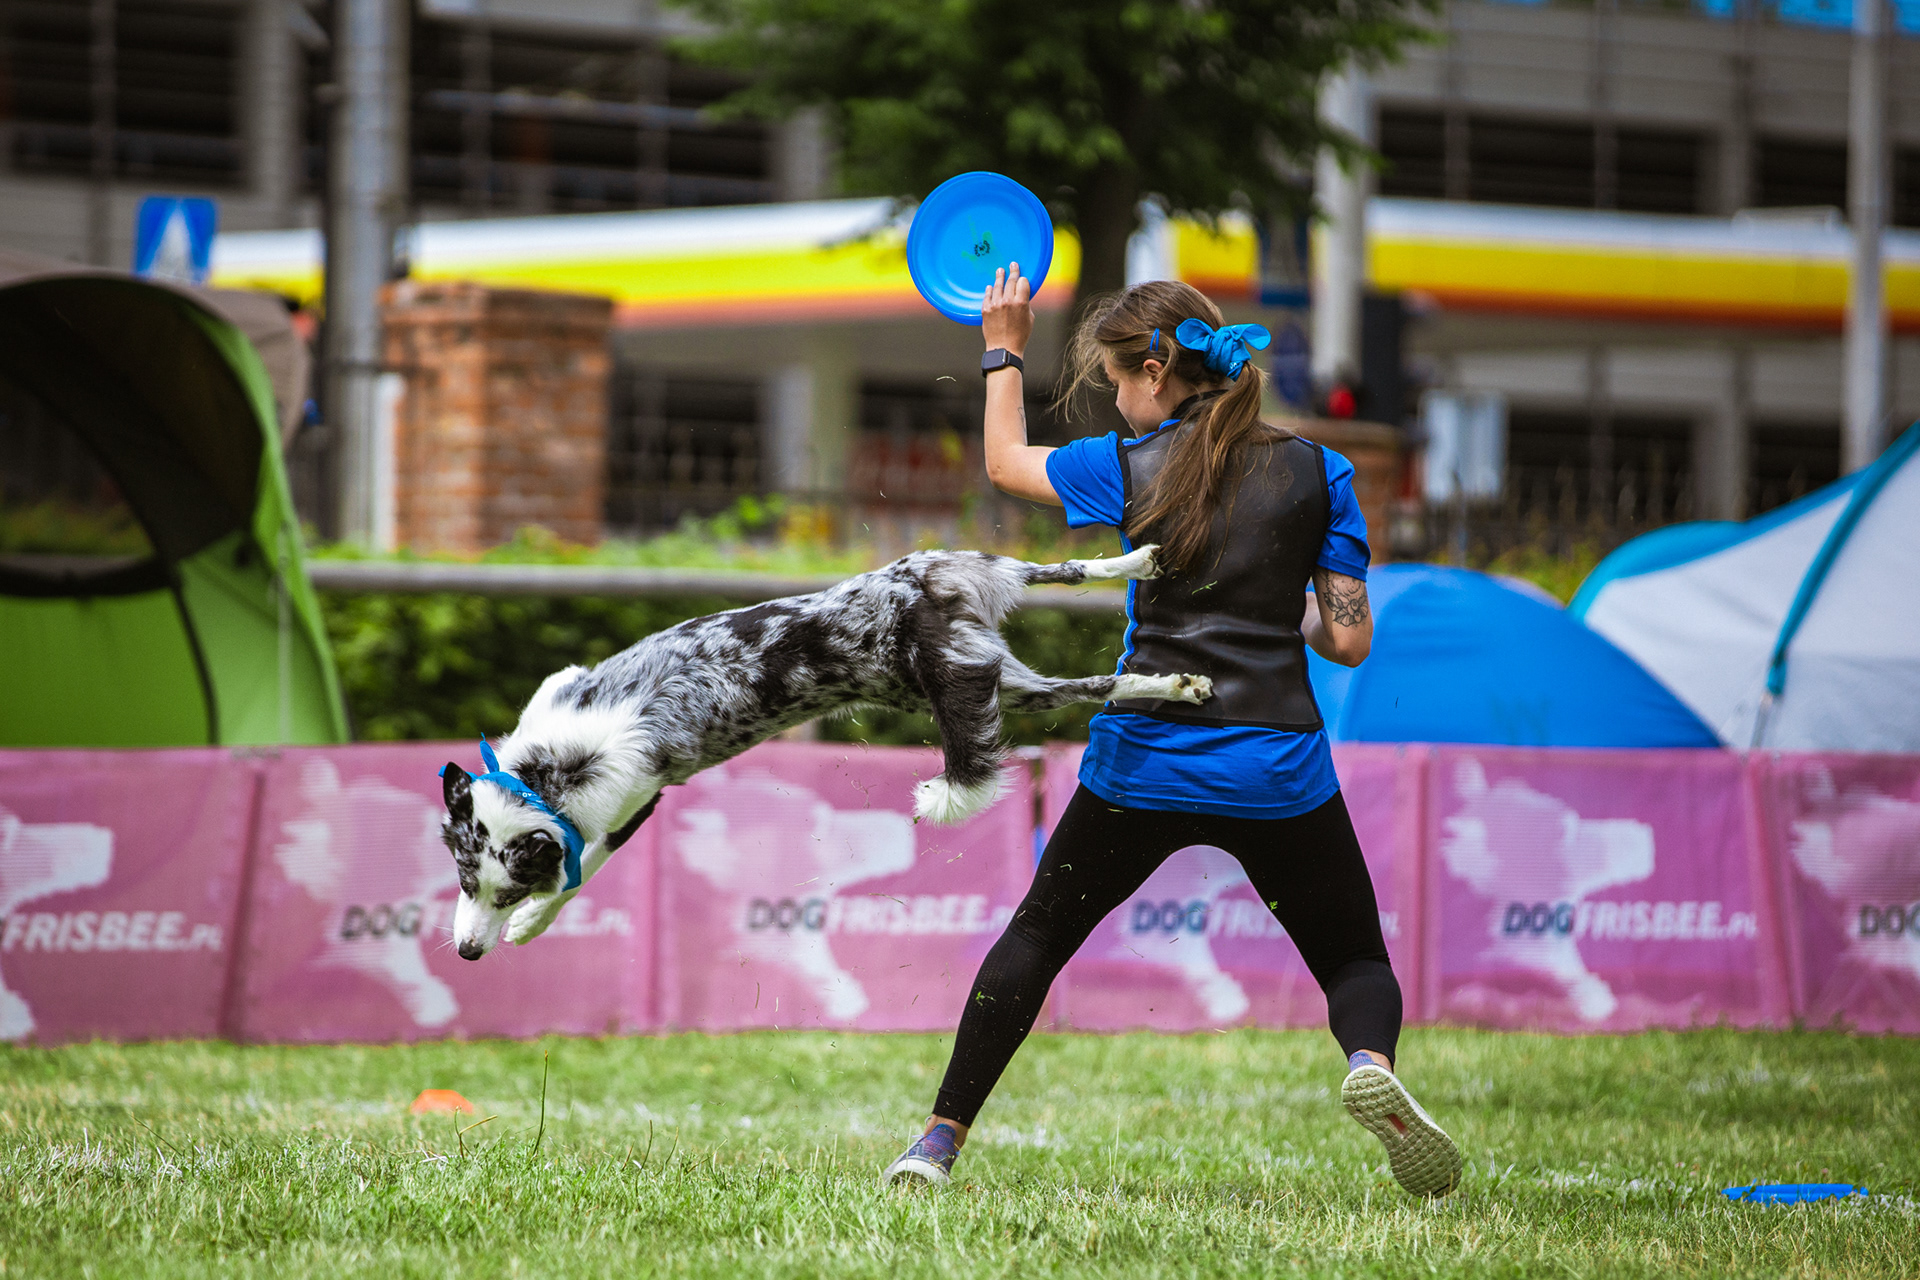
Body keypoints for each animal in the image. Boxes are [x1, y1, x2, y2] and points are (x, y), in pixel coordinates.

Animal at [439, 545, 1211, 959]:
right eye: (464, 882)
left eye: (508, 891)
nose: (468, 952)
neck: (544, 778)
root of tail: (919, 610)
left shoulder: (631, 804)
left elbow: (583, 871)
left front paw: (532, 926)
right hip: (993, 638)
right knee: (1076, 608)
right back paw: (1161, 643)